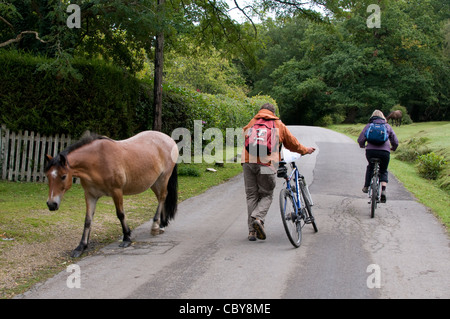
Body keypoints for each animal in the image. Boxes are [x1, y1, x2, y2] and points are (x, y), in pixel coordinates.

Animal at [44, 131, 178, 258]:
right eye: (48, 176)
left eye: (63, 176)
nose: (51, 204)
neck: (97, 160)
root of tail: (169, 139)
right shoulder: (90, 195)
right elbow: (87, 220)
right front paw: (80, 247)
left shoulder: (116, 191)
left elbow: (120, 214)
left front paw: (127, 238)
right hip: (154, 182)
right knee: (161, 198)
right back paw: (162, 224)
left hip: (163, 178)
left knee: (162, 197)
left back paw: (155, 226)